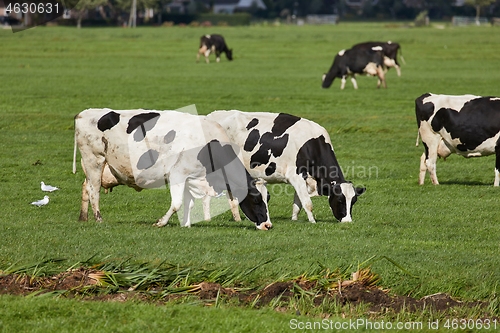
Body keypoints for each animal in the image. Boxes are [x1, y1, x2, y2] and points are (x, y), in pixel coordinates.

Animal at [72, 107, 272, 230]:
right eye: (256, 200)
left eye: (267, 198)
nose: (268, 225)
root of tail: (84, 113)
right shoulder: (178, 174)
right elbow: (177, 203)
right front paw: (161, 222)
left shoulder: (191, 178)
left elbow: (189, 203)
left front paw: (186, 224)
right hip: (94, 160)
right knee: (94, 190)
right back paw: (98, 218)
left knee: (85, 187)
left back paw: (83, 217)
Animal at [205, 110, 366, 222]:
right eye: (340, 200)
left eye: (353, 201)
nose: (347, 221)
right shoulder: (296, 175)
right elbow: (307, 203)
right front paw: (313, 222)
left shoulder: (303, 178)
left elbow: (297, 203)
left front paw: (294, 220)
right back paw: (208, 218)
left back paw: (237, 218)